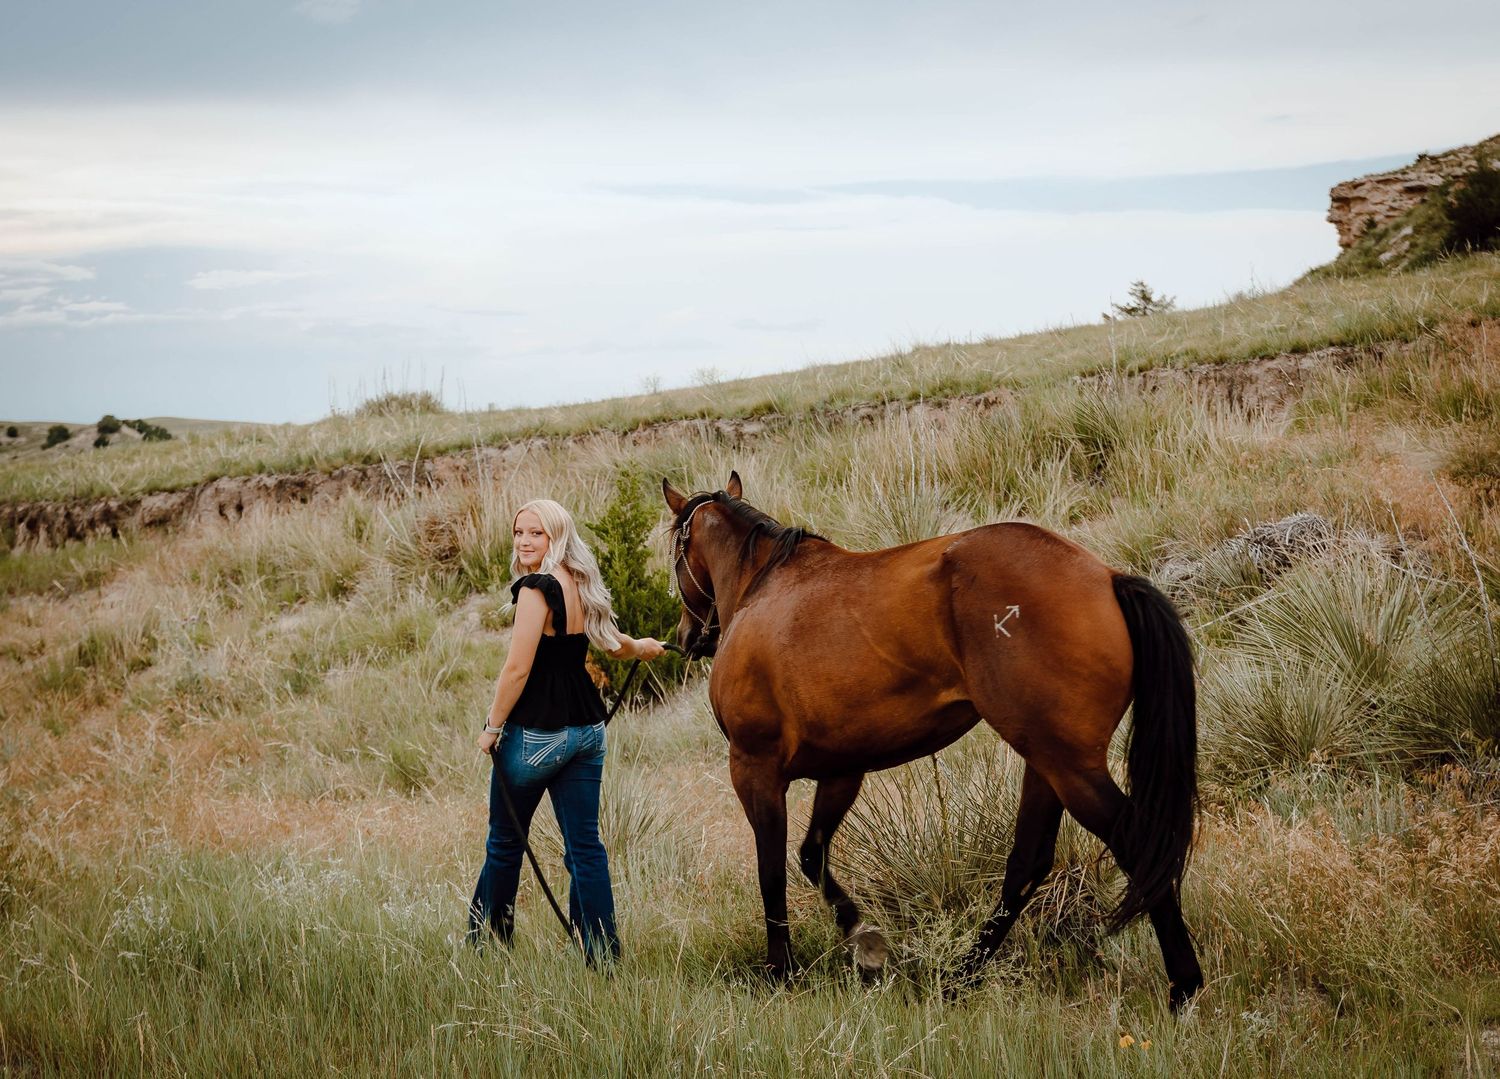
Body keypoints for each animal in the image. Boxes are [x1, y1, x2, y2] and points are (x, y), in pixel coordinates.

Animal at [662, 472, 1204, 1010]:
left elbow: (771, 872)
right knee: (1027, 864)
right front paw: (864, 940)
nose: (687, 636)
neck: (765, 586)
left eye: (674, 553)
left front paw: (780, 970)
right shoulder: (842, 771)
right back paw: (962, 975)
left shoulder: (754, 768)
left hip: (1071, 767)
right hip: (1048, 763)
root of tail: (1107, 578)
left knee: (1138, 845)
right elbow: (812, 856)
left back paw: (1184, 985)